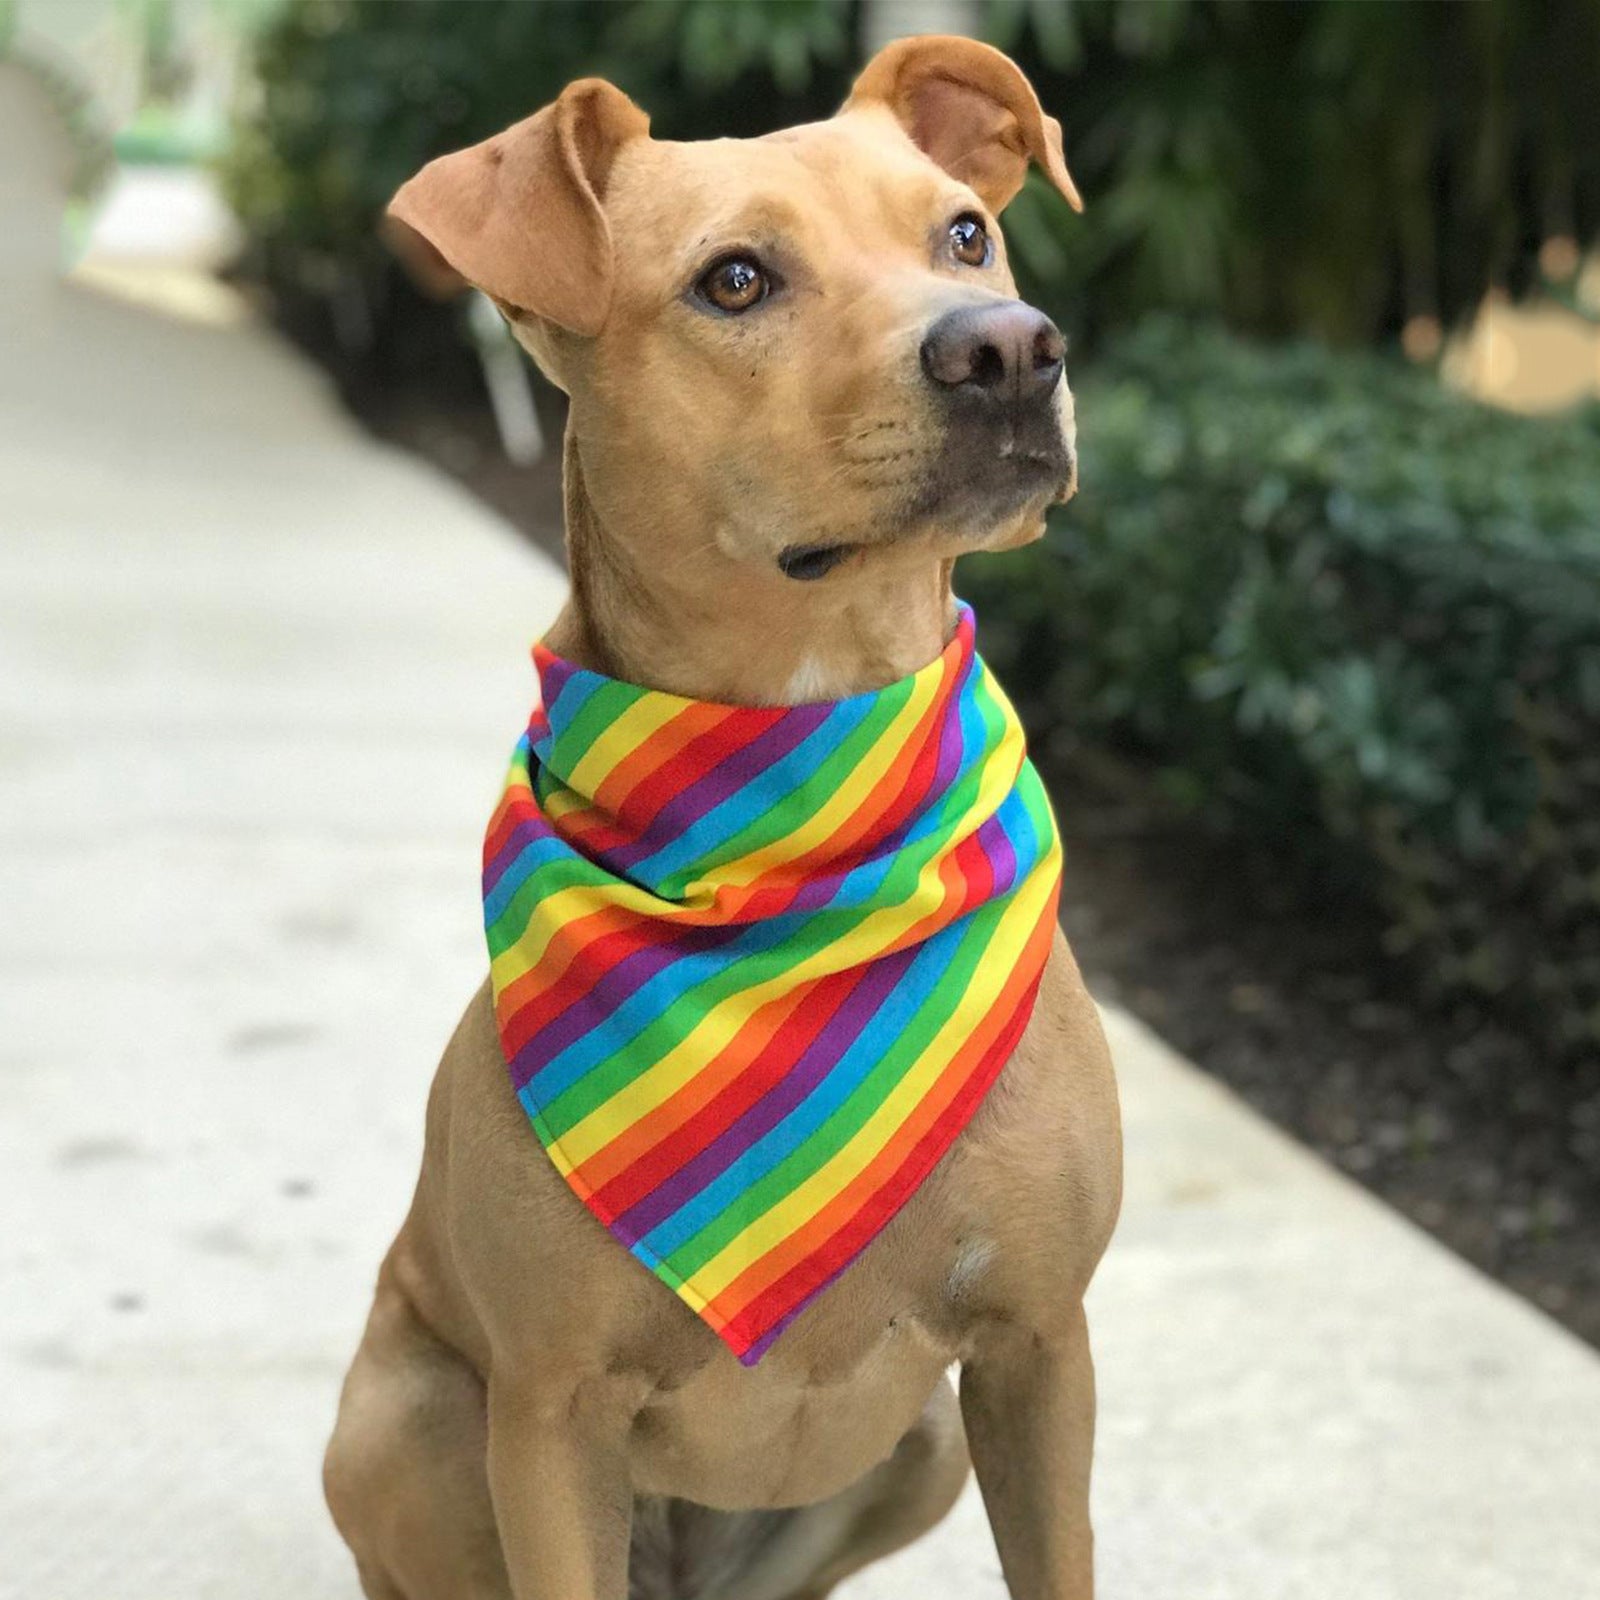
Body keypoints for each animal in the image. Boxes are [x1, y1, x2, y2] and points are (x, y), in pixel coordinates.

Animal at [323, 28, 1120, 1600]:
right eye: (735, 279)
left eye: (965, 232)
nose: (1007, 347)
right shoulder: (549, 1415)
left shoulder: (1040, 1350)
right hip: (409, 1418)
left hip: (925, 1450)